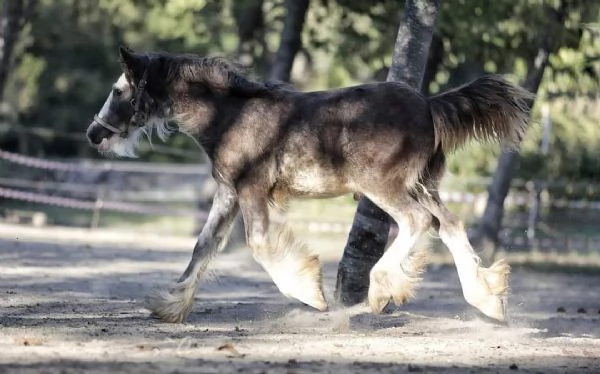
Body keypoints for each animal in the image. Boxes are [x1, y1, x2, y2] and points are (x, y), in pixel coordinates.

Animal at [85, 46, 536, 322]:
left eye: (118, 90)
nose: (94, 134)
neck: (231, 117)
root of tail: (428, 104)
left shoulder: (251, 190)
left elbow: (260, 245)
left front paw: (310, 293)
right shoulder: (229, 193)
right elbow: (203, 246)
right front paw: (170, 306)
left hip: (384, 186)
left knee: (418, 222)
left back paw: (380, 290)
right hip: (423, 184)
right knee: (449, 224)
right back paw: (487, 299)